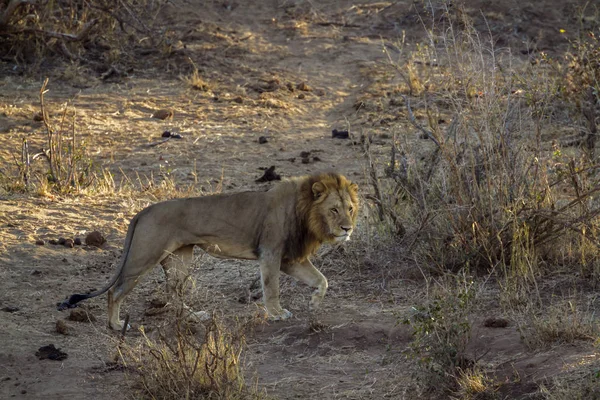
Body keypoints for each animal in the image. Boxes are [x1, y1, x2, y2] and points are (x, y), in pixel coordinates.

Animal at [57, 170, 356, 330]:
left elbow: (322, 279)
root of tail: (144, 211)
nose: (347, 228)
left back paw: (194, 316)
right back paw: (116, 325)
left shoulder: (289, 258)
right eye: (333, 210)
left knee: (174, 294)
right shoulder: (271, 253)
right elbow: (272, 288)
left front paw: (314, 302)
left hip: (180, 259)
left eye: (350, 208)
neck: (305, 211)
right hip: (143, 256)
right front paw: (276, 313)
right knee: (116, 291)